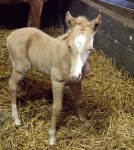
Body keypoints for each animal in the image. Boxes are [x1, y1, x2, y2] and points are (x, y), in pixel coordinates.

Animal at [6, 13, 101, 145]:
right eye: (69, 46)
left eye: (90, 49)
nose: (74, 74)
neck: (67, 60)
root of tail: (10, 35)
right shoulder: (57, 82)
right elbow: (56, 108)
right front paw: (52, 136)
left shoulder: (76, 82)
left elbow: (80, 101)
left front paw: (85, 122)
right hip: (22, 67)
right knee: (11, 84)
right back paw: (16, 119)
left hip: (17, 66)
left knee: (16, 83)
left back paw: (22, 92)